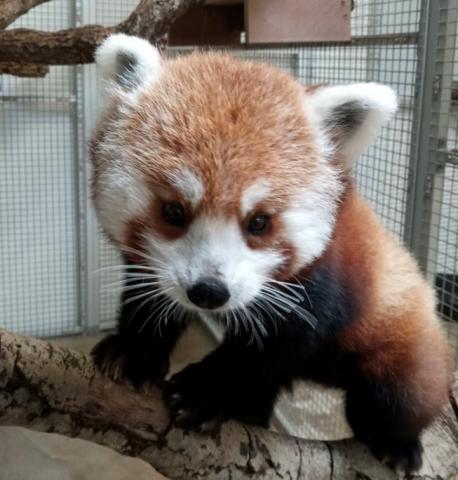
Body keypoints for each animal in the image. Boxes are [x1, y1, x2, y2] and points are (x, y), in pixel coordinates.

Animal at [89, 34, 450, 472]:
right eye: (173, 211)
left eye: (259, 222)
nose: (209, 291)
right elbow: (152, 297)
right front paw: (133, 350)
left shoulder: (328, 278)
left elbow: (277, 343)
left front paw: (202, 391)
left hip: (405, 340)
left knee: (398, 395)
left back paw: (398, 444)